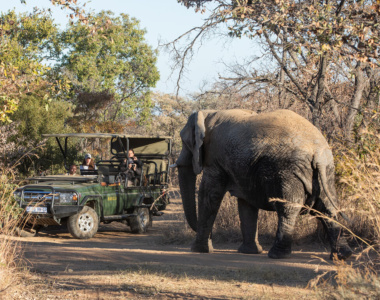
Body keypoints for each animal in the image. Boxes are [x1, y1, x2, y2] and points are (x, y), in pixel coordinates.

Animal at [174, 109, 352, 258]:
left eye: (186, 142)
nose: (213, 237)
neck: (208, 113)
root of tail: (317, 151)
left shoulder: (216, 158)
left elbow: (210, 194)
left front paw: (198, 250)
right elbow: (246, 204)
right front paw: (249, 252)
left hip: (288, 172)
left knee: (288, 209)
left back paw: (277, 255)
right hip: (326, 172)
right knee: (327, 209)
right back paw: (341, 256)